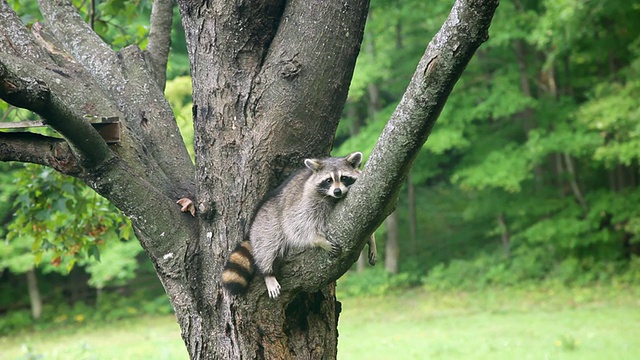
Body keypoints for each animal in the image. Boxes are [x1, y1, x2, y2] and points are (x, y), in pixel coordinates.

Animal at [222, 152, 378, 298]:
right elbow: (300, 226)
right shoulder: (304, 203)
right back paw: (267, 273)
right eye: (328, 180)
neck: (333, 198)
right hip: (267, 222)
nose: (337, 191)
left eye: (344, 178)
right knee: (268, 246)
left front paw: (371, 239)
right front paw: (318, 240)